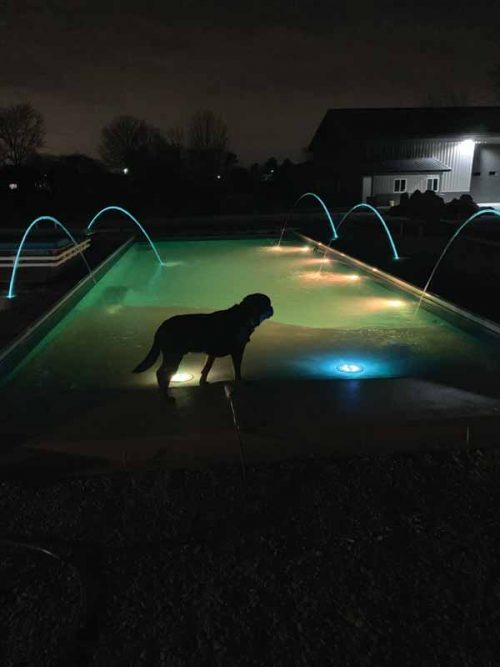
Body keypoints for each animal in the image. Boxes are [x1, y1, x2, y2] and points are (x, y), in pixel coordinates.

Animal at [133, 294, 274, 402]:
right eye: (267, 304)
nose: (272, 308)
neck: (243, 315)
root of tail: (161, 326)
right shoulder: (238, 351)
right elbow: (237, 370)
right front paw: (241, 381)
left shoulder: (211, 353)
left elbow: (206, 369)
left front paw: (202, 382)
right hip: (174, 356)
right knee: (162, 373)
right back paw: (165, 397)